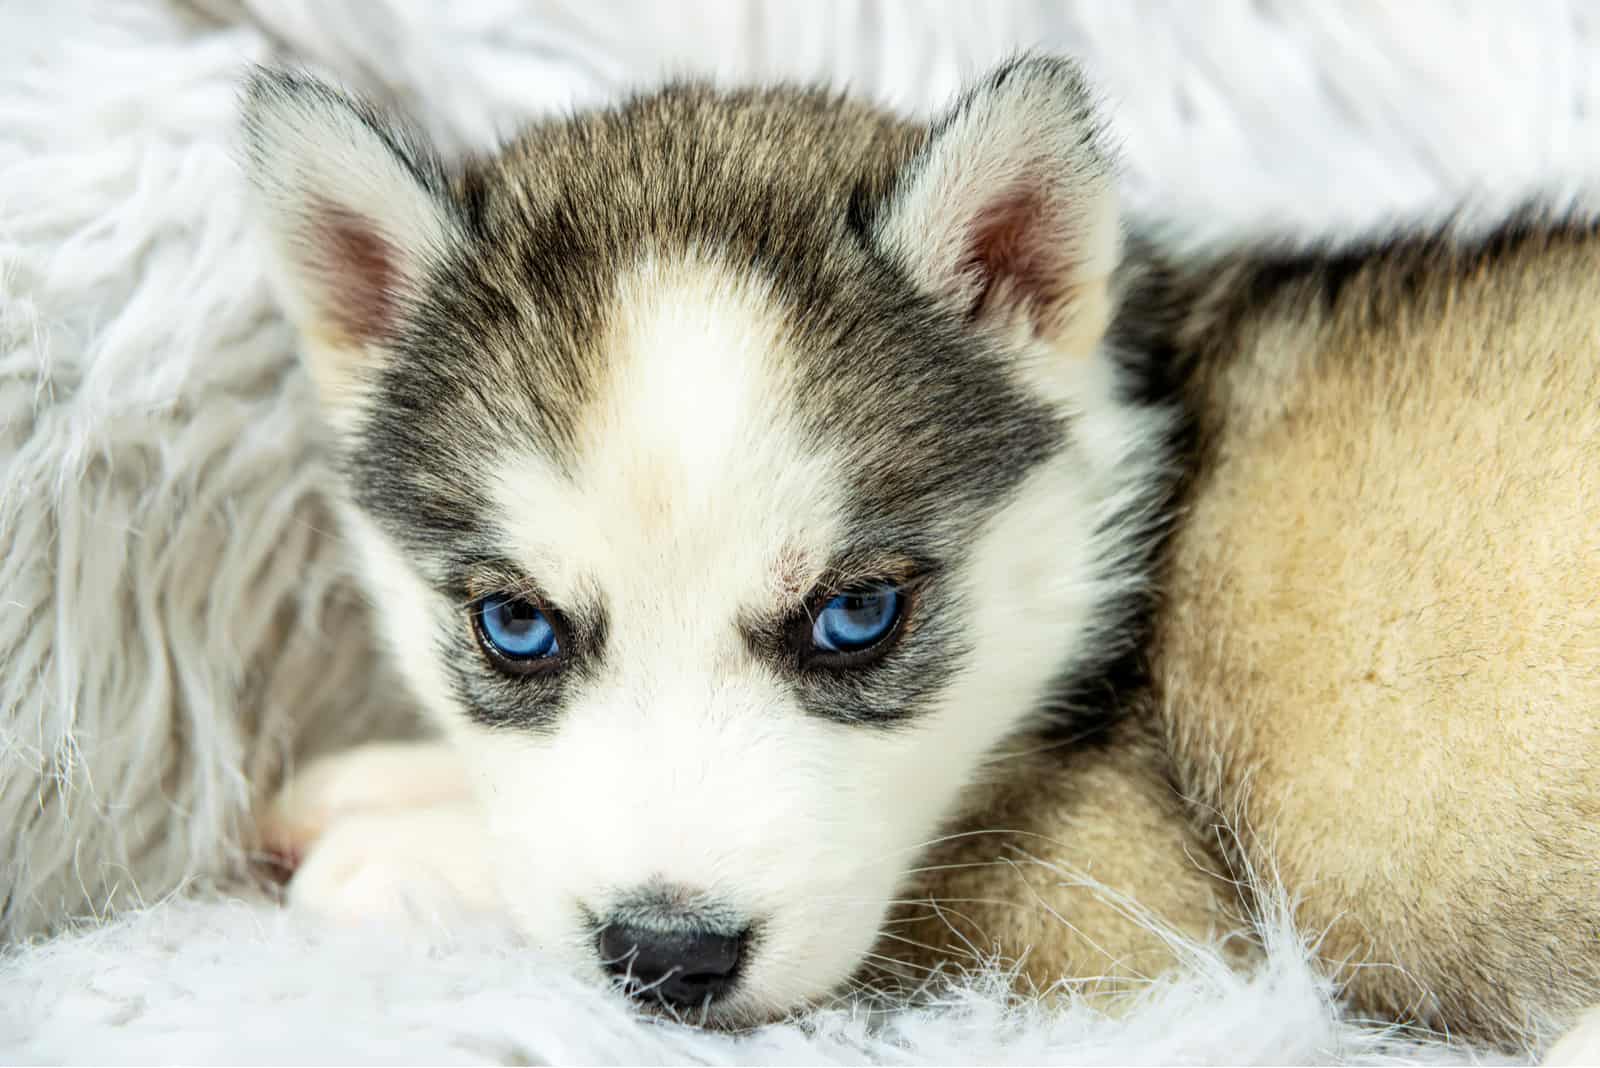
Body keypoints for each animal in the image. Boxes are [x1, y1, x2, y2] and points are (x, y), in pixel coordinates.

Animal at [243, 58, 1593, 1048]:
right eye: (516, 627)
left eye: (855, 617)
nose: (670, 958)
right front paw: (391, 783)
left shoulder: (1147, 924)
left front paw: (399, 855)